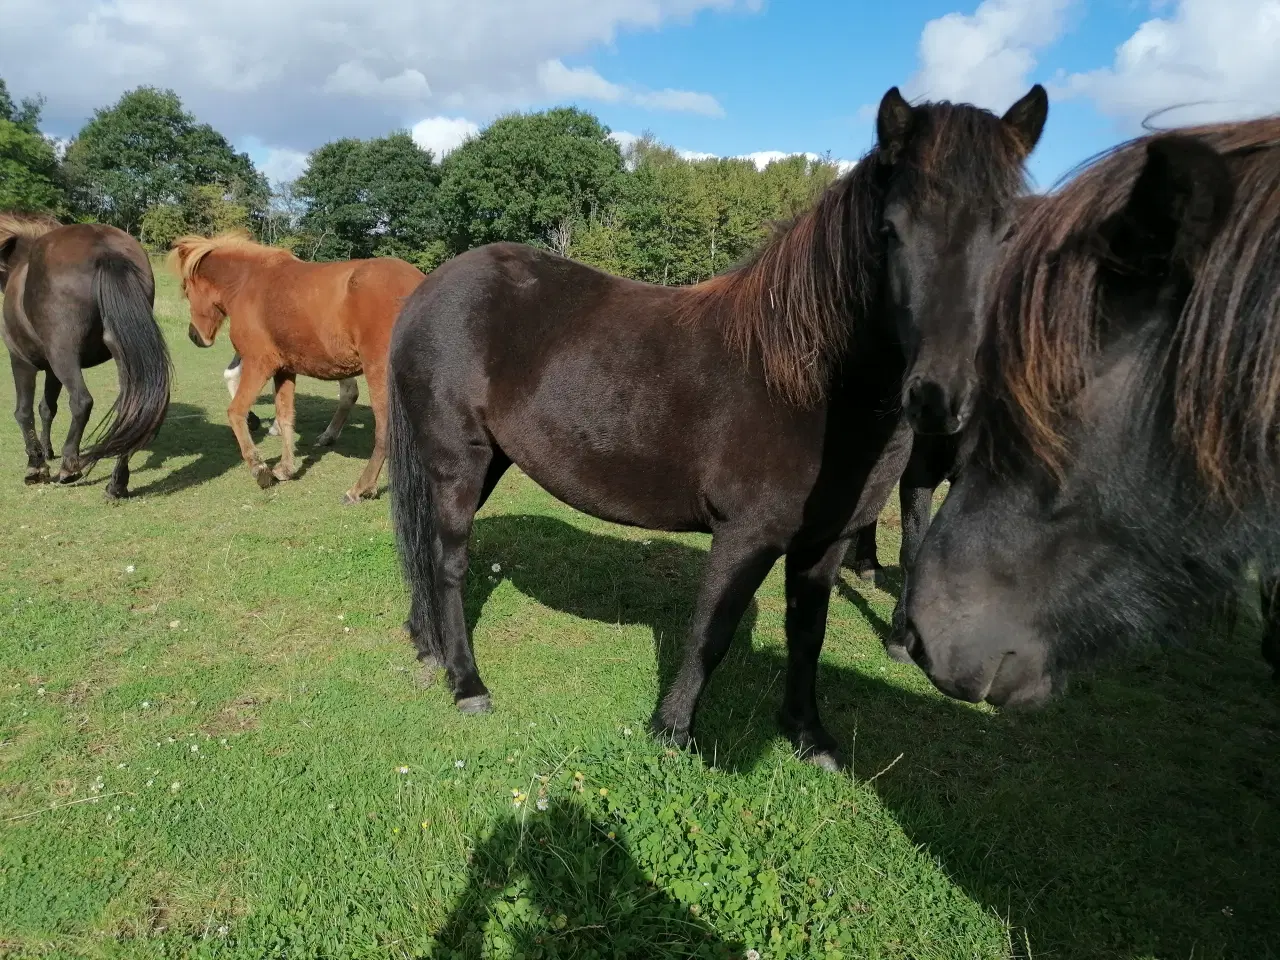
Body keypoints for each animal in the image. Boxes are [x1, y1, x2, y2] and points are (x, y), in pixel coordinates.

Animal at [0, 215, 172, 499]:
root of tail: (104, 248)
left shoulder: (22, 360)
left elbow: (24, 412)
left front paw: (36, 466)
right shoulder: (51, 370)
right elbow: (47, 408)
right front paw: (46, 451)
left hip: (64, 356)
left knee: (81, 401)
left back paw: (70, 466)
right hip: (117, 352)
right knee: (132, 406)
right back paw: (116, 484)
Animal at [170, 235, 424, 504]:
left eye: (186, 289)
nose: (195, 336)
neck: (248, 284)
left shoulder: (258, 363)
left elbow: (236, 411)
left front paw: (259, 468)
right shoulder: (284, 369)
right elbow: (285, 415)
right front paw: (285, 468)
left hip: (378, 373)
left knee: (384, 429)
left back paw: (359, 488)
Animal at [384, 86, 1044, 773]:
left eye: (1009, 234)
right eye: (890, 231)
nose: (942, 396)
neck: (806, 383)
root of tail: (430, 289)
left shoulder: (827, 542)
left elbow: (807, 632)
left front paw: (808, 734)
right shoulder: (743, 535)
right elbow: (711, 633)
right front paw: (673, 731)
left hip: (486, 459)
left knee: (427, 553)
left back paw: (429, 646)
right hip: (455, 457)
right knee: (449, 560)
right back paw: (467, 682)